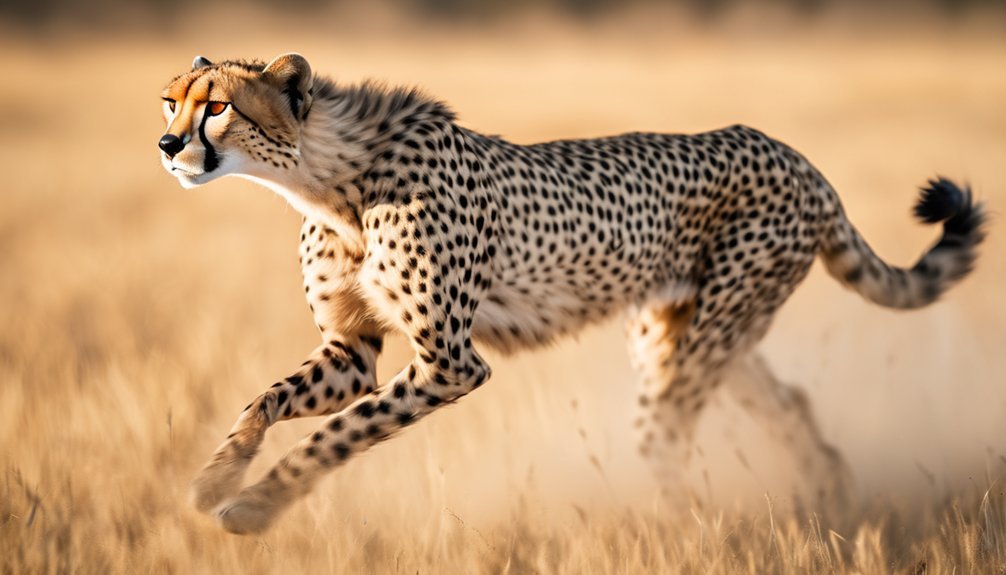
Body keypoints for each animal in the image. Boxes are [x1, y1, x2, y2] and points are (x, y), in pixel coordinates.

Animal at [158, 53, 986, 534]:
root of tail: (794, 154)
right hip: (687, 332)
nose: (167, 145)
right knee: (786, 402)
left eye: (219, 106)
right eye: (170, 100)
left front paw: (256, 504)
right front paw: (214, 477)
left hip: (702, 341)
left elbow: (338, 434)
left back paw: (689, 531)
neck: (327, 178)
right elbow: (264, 400)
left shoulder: (450, 361)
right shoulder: (353, 348)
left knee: (668, 436)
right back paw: (828, 494)